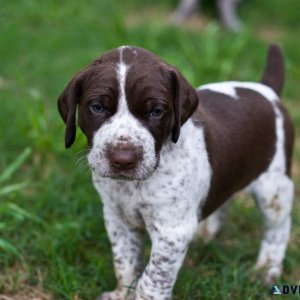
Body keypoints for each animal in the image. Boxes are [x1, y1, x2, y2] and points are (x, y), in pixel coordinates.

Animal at [58, 44, 296, 300]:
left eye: (156, 111)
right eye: (97, 107)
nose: (123, 159)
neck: (133, 186)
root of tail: (267, 90)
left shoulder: (172, 230)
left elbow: (152, 279)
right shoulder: (118, 217)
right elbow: (125, 262)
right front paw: (122, 293)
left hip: (274, 189)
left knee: (279, 229)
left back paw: (266, 270)